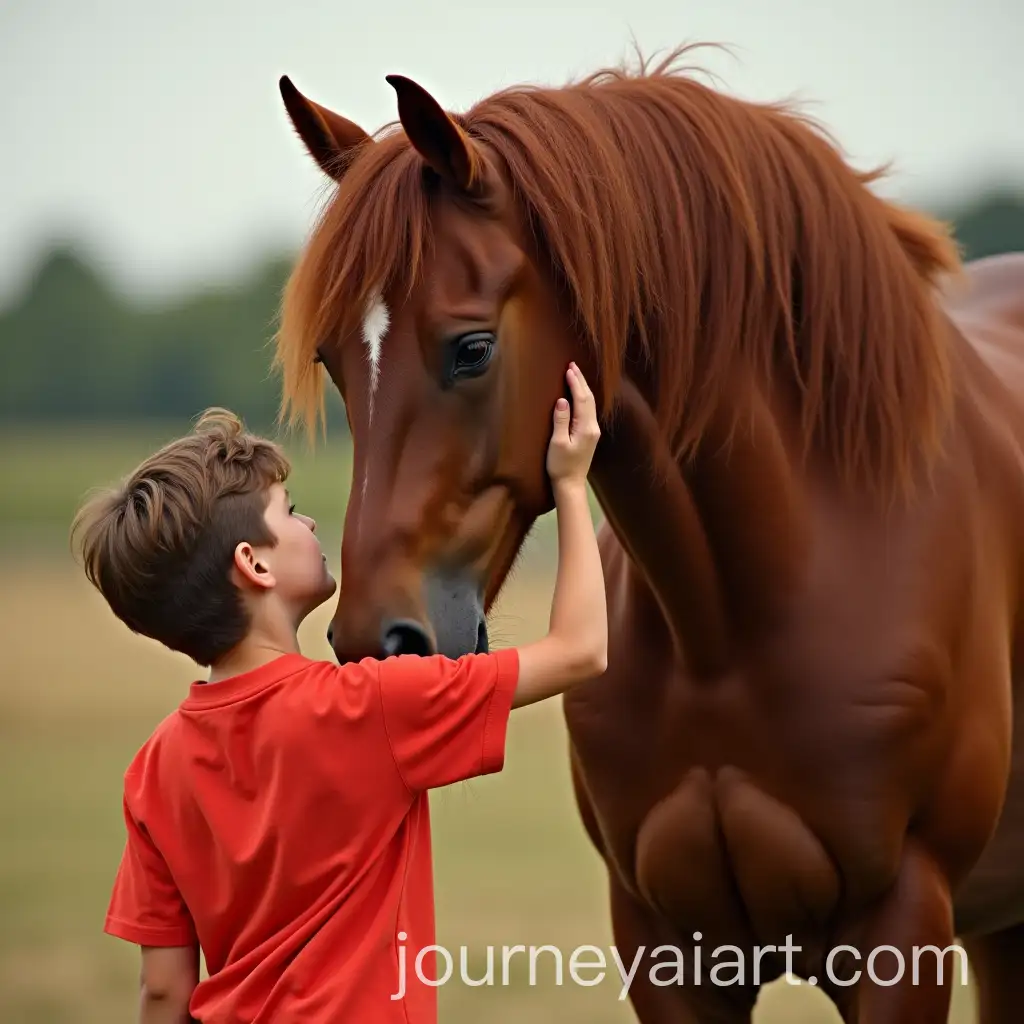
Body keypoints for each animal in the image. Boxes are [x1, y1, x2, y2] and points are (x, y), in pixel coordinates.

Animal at [273, 48, 1024, 1023]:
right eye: (330, 359)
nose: (377, 641)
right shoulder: (665, 941)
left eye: (472, 348)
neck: (736, 623)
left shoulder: (903, 931)